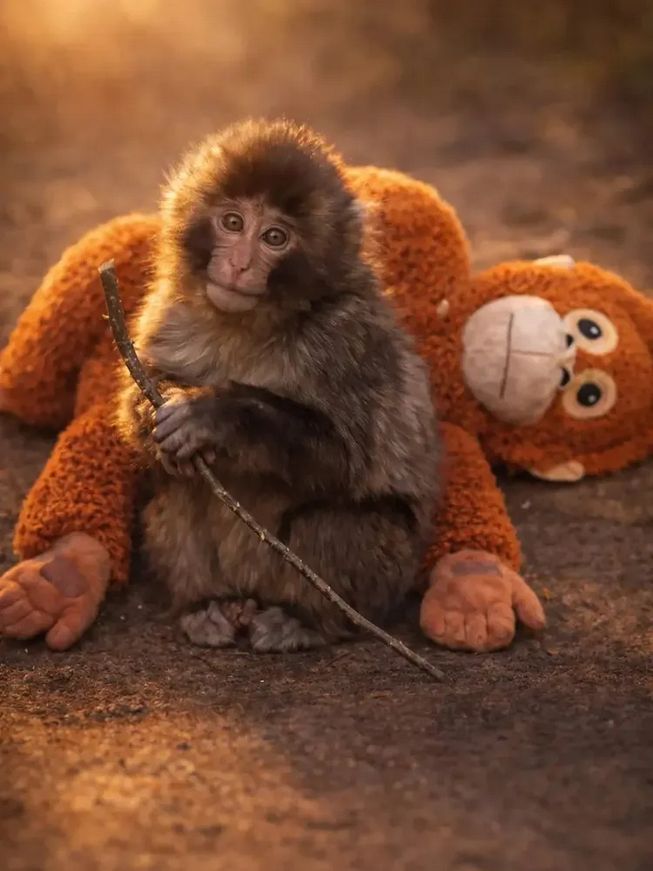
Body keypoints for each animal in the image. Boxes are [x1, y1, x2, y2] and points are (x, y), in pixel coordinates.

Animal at [117, 119, 440, 652]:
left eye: (274, 237)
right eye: (232, 223)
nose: (240, 265)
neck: (250, 325)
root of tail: (251, 593)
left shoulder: (345, 338)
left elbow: (345, 459)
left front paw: (213, 417)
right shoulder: (168, 310)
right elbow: (139, 397)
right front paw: (157, 419)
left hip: (387, 569)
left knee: (331, 523)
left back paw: (306, 620)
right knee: (178, 491)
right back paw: (205, 606)